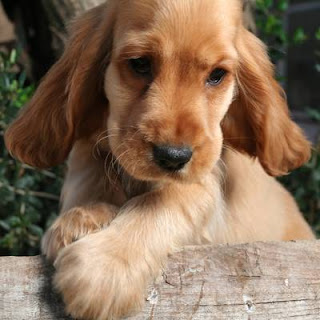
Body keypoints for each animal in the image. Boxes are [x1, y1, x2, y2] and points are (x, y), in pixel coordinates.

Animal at [5, 0, 316, 318]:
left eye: (217, 75)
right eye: (140, 63)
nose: (173, 157)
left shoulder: (204, 188)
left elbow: (162, 201)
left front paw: (104, 268)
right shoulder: (91, 156)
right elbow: (91, 181)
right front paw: (79, 220)